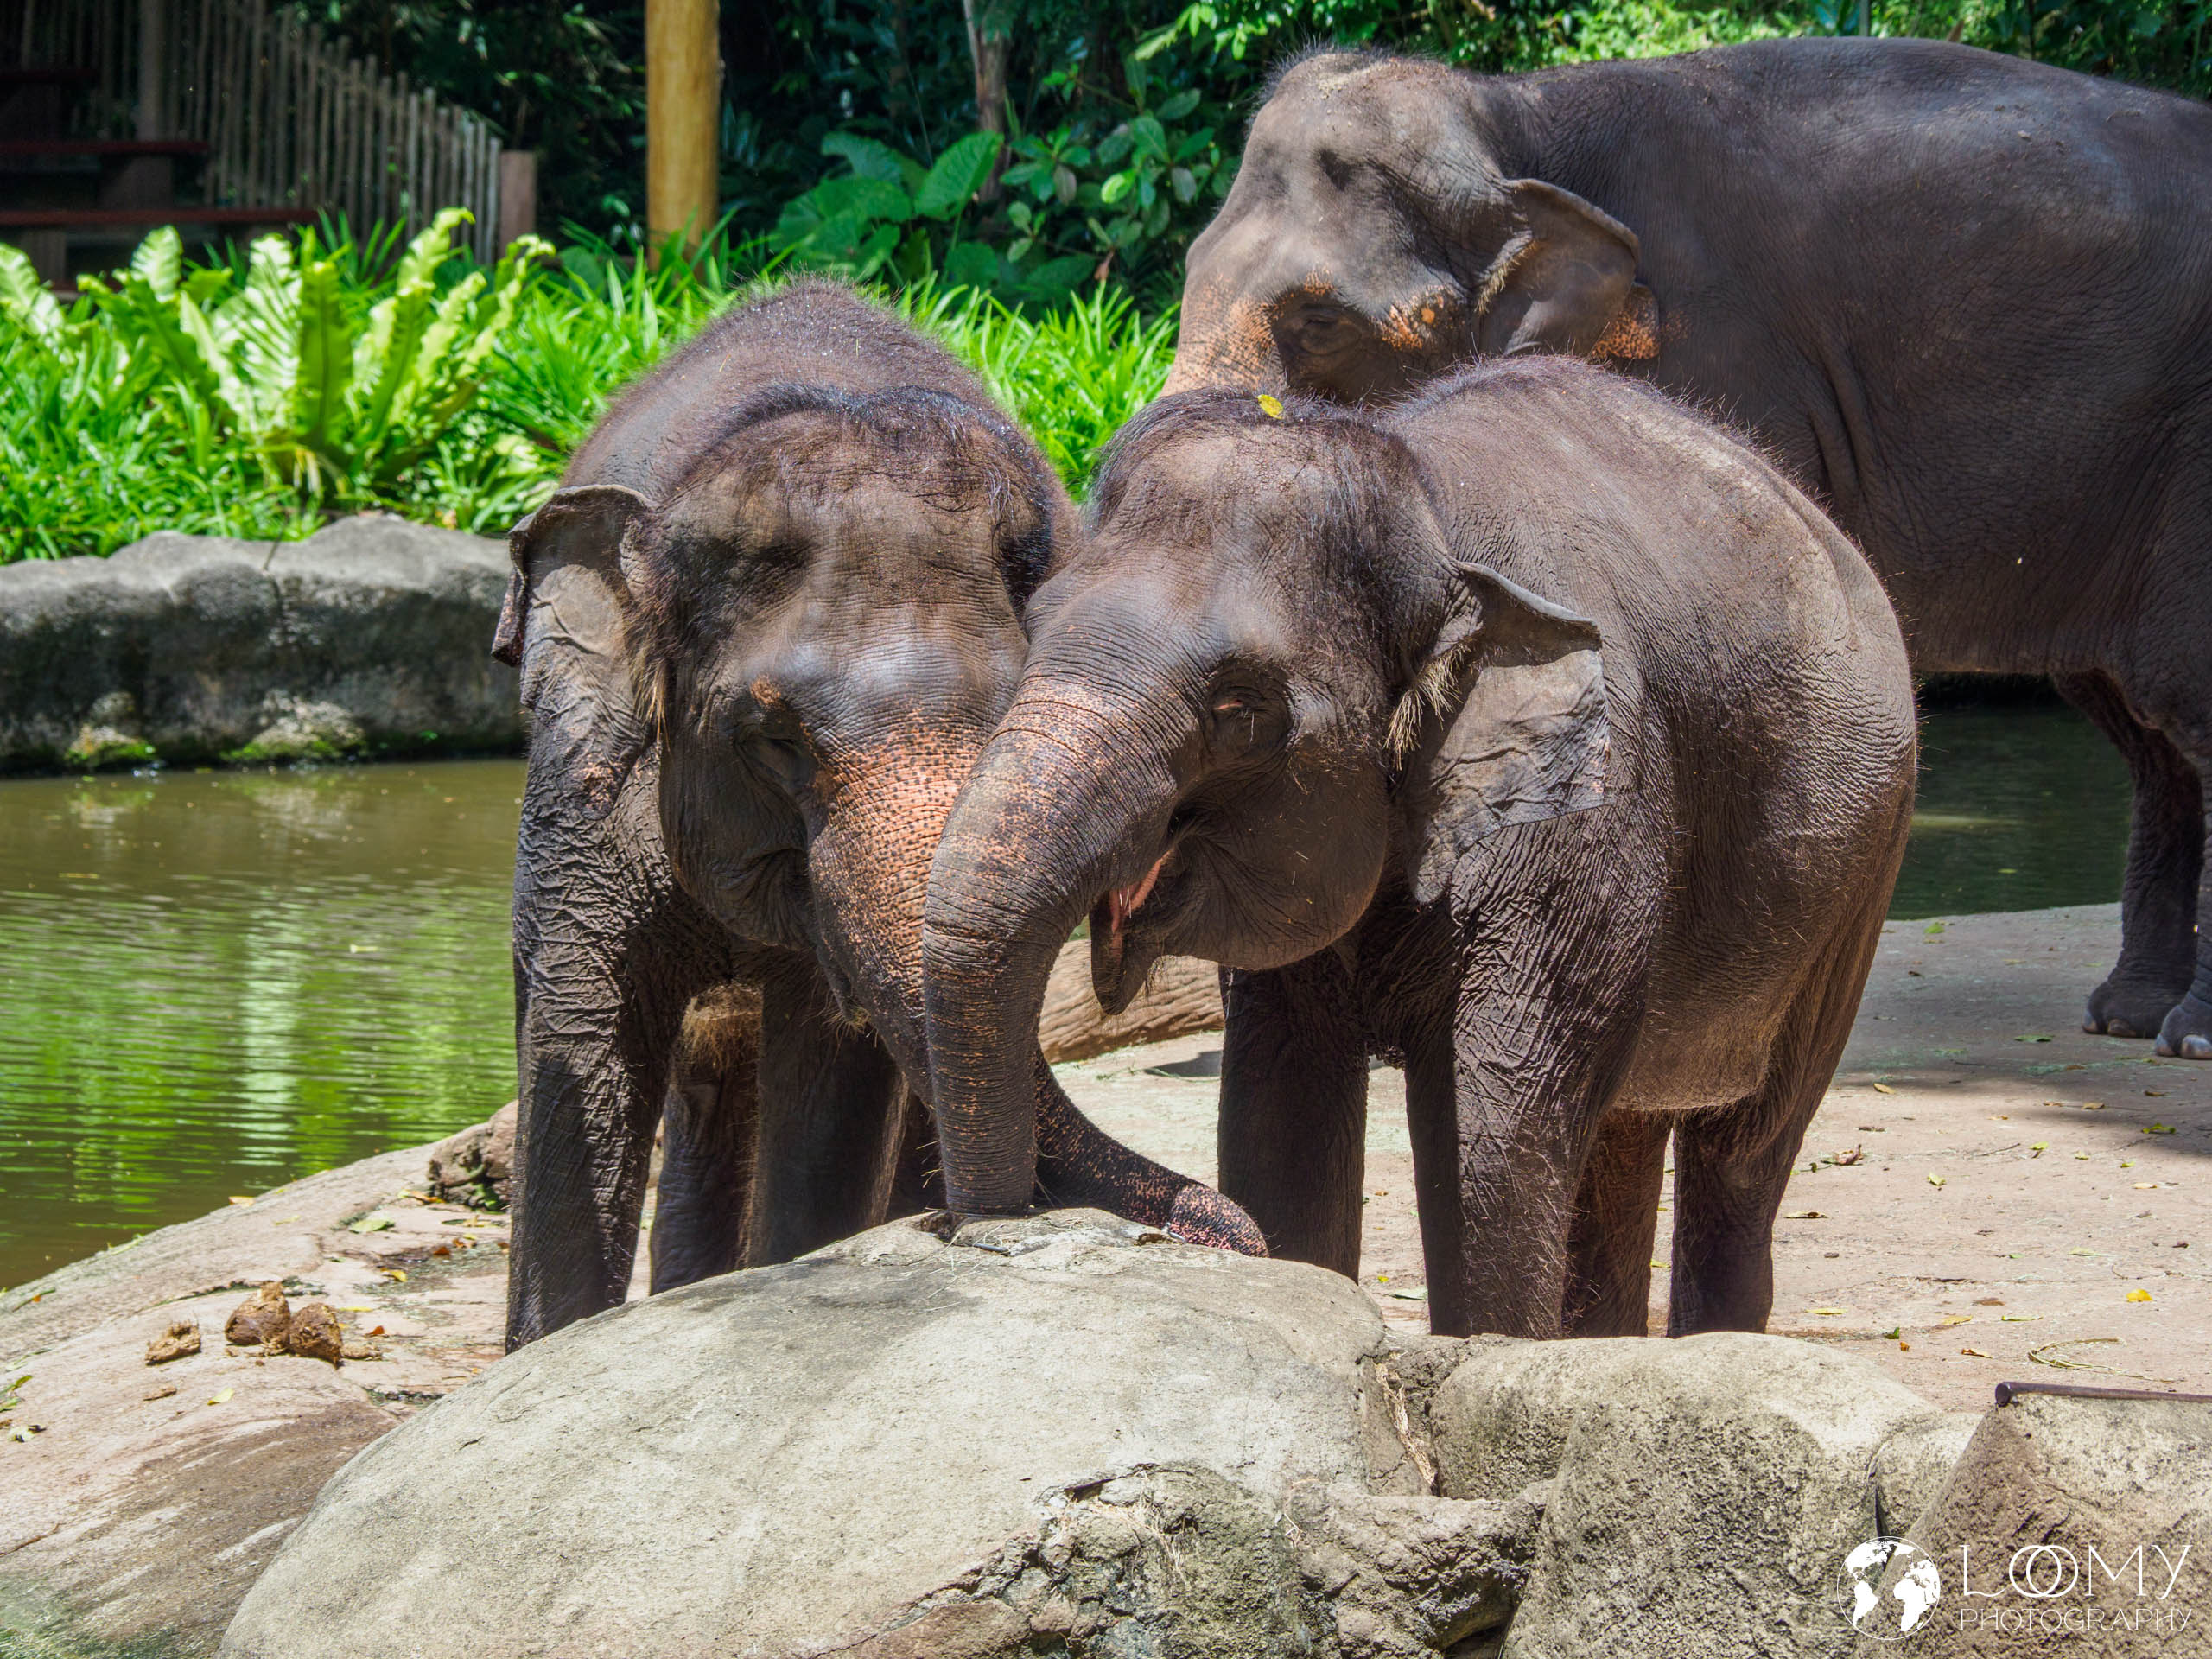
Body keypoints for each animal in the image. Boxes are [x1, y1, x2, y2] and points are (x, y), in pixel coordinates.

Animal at [494, 280, 1258, 1349]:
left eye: (1008, 717)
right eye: (775, 738)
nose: (1246, 1235)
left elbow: (836, 1078)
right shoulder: (579, 800)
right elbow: (579, 1035)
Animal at [921, 362, 1916, 1339]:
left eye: (1240, 709)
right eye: (1036, 628)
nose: (982, 1231)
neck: (1430, 508)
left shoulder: (1591, 813)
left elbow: (1491, 1130)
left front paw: (1484, 1350)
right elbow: (1278, 1114)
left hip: (1859, 873)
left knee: (1743, 1153)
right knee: (1621, 1139)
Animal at [1169, 38, 2212, 1057]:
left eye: (1318, 322)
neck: (1519, 115)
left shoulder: (1725, 369)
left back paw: (2186, 1035)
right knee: (2141, 725)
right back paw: (2126, 1015)